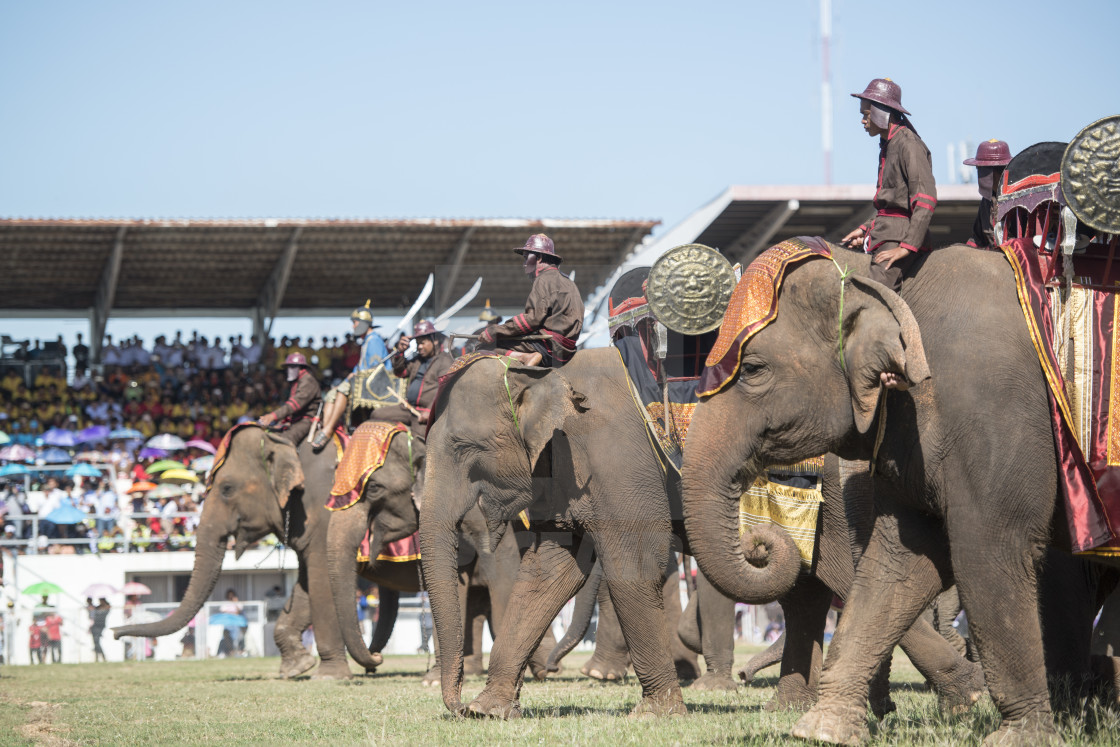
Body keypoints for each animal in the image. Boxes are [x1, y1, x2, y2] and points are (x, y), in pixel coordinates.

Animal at [679, 240, 1117, 744]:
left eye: (751, 369)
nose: (757, 544)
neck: (885, 279)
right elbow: (897, 561)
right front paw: (820, 730)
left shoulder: (991, 410)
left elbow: (990, 551)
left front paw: (1020, 737)